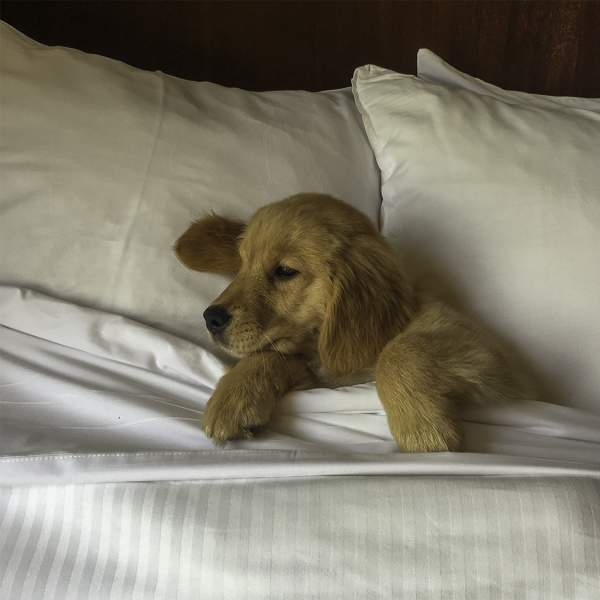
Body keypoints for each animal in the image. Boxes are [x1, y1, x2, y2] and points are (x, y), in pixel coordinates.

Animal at [175, 195, 536, 452]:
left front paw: (423, 427)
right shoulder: (320, 378)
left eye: (285, 271)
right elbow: (271, 355)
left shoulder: (488, 356)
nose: (211, 318)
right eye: (241, 265)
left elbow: (400, 351)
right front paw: (233, 397)